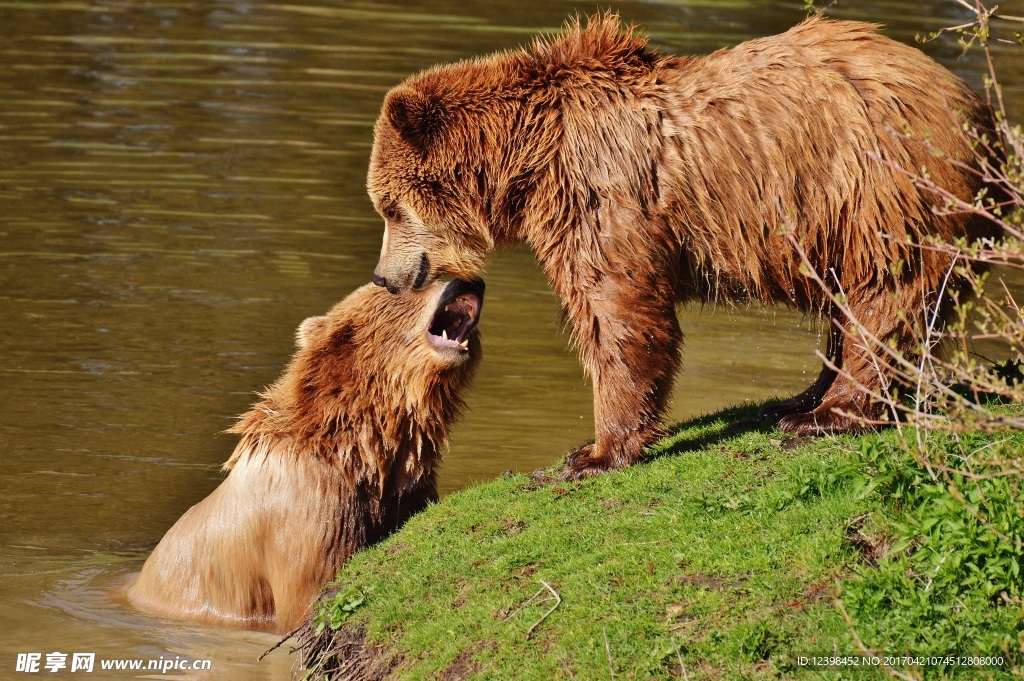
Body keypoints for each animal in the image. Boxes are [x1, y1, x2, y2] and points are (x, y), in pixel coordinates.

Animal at [124, 276, 483, 630]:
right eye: (413, 285)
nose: (466, 281)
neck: (359, 452)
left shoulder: (405, 493)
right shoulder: (309, 509)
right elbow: (312, 594)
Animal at [366, 14, 999, 477]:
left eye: (388, 207)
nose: (384, 276)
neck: (531, 158)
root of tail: (975, 107)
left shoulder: (603, 197)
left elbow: (618, 314)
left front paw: (594, 452)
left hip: (878, 188)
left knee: (886, 294)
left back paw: (829, 413)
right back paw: (798, 398)